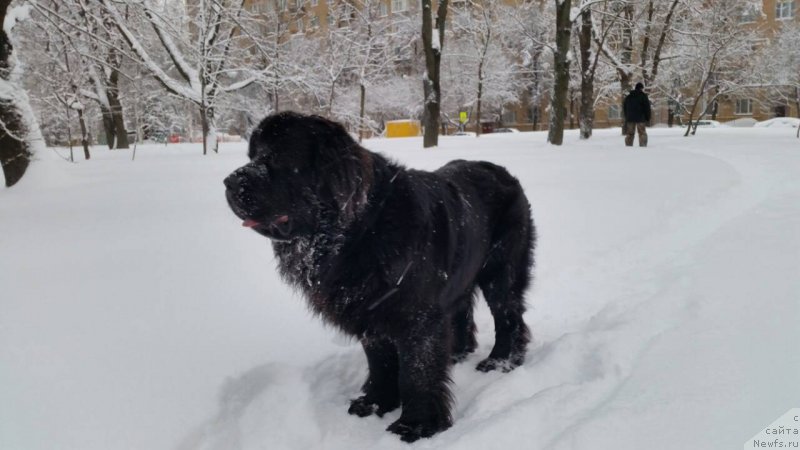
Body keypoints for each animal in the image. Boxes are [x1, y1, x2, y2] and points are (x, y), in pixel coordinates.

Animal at [223, 112, 536, 442]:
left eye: (279, 156)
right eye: (252, 156)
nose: (228, 182)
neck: (360, 231)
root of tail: (502, 171)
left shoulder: (416, 316)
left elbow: (417, 371)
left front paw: (416, 424)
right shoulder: (369, 311)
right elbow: (380, 362)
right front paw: (375, 403)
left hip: (502, 270)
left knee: (508, 315)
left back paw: (501, 361)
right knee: (462, 310)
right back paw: (457, 353)